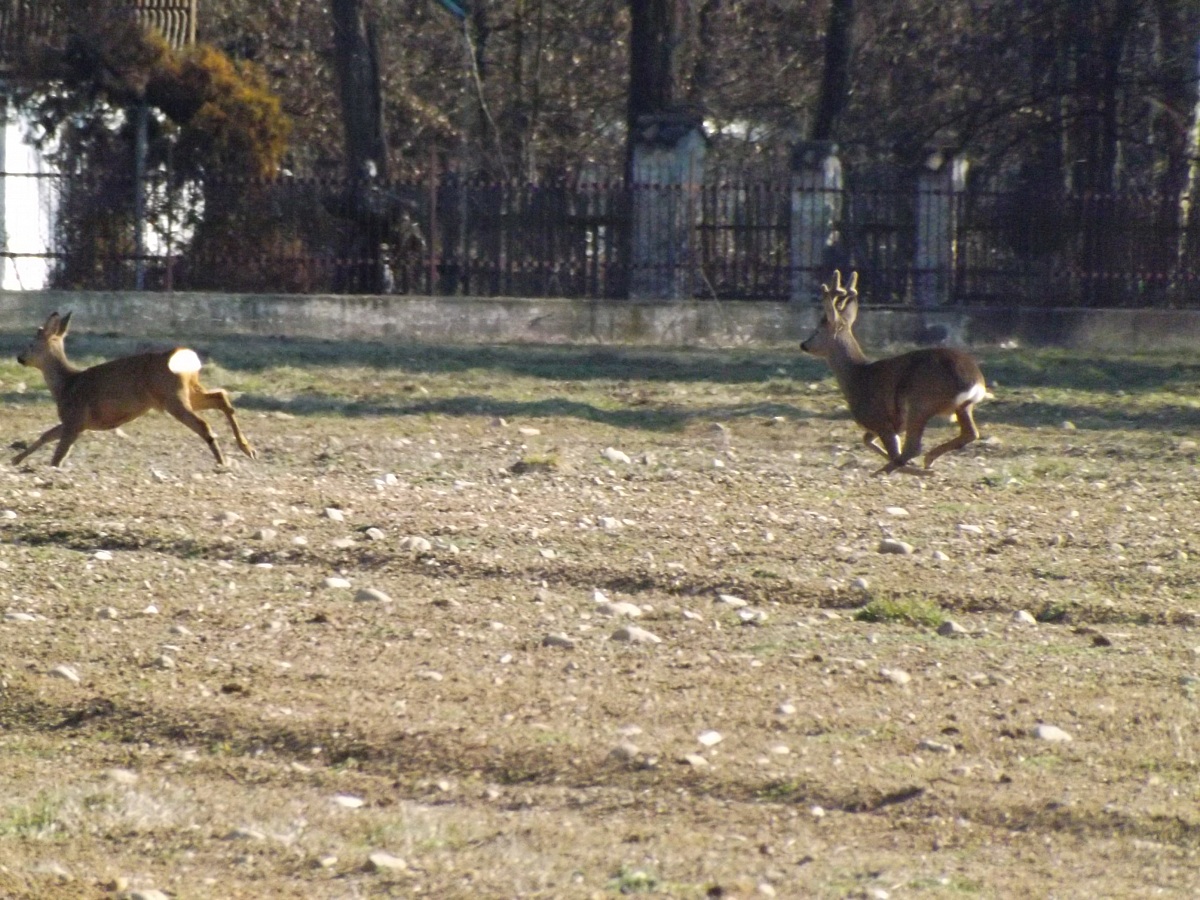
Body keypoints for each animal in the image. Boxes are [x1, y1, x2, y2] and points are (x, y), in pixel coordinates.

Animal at [13, 311, 257, 468]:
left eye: (31, 345)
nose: (19, 358)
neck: (66, 384)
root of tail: (186, 357)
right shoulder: (75, 422)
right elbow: (46, 435)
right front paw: (15, 460)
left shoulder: (75, 419)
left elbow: (58, 456)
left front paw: (47, 467)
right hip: (189, 391)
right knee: (220, 396)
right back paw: (248, 449)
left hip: (173, 396)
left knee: (203, 423)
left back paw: (222, 461)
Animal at [800, 270, 987, 476]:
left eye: (817, 331)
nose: (803, 344)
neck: (857, 375)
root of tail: (975, 381)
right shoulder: (890, 425)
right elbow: (867, 440)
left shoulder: (880, 419)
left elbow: (888, 448)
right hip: (962, 406)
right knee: (970, 433)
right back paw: (927, 461)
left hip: (920, 402)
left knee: (913, 447)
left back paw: (894, 470)